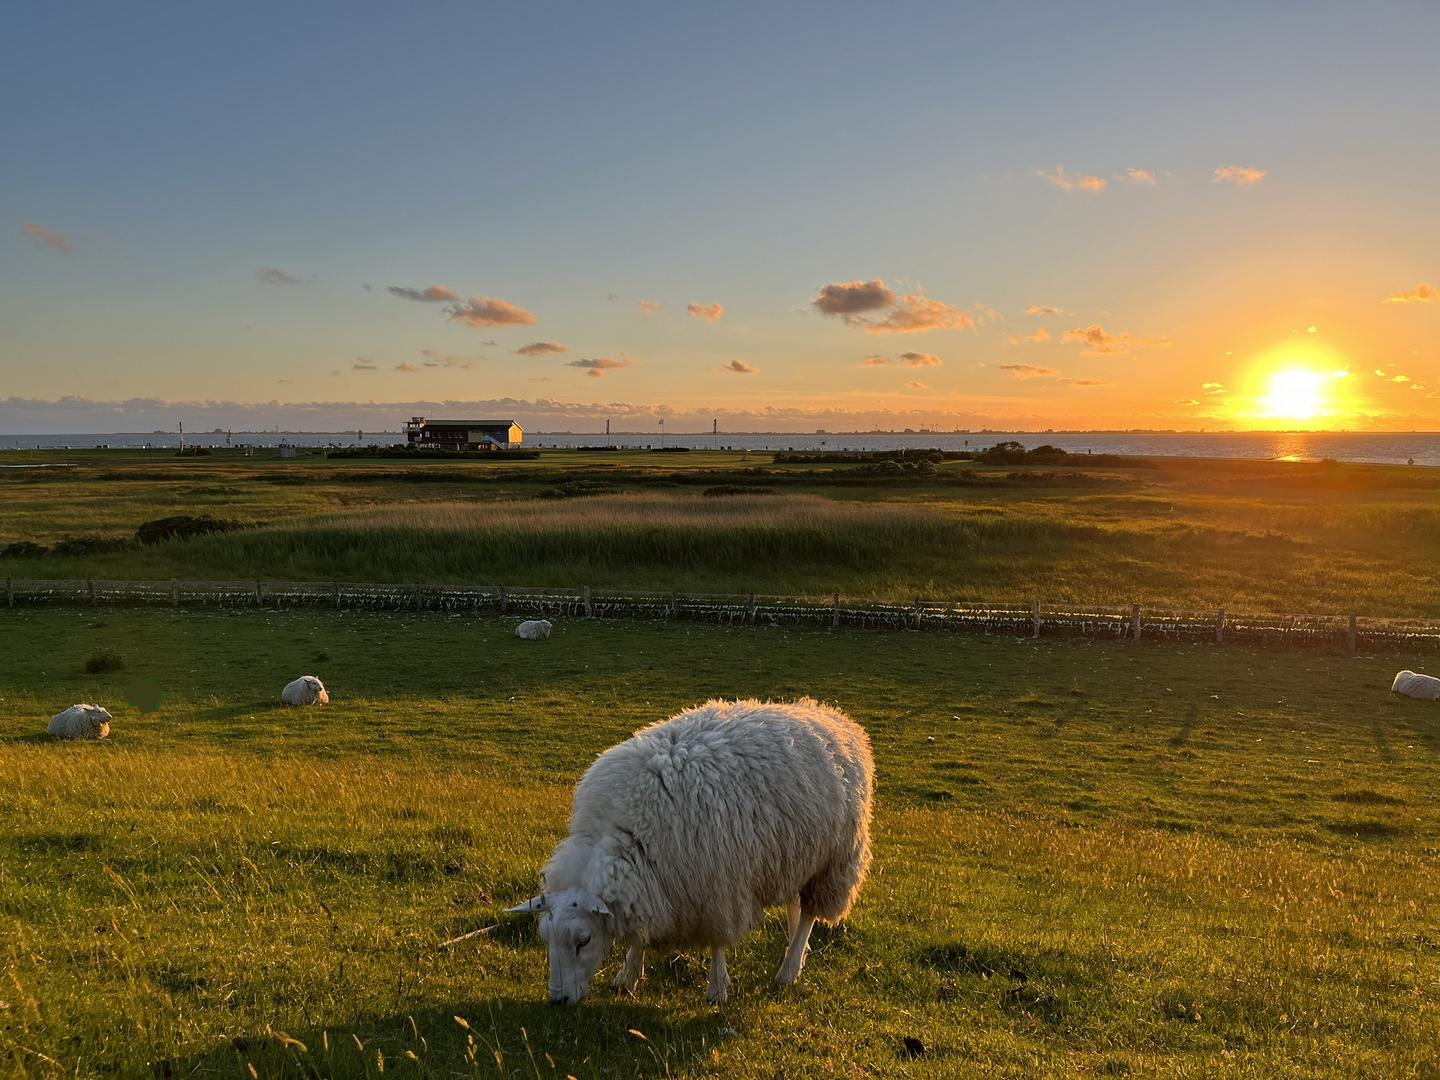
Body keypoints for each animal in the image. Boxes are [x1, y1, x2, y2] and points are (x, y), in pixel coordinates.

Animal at [509, 696, 875, 1013]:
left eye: (583, 941)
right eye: (544, 938)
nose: (558, 1000)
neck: (625, 833)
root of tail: (830, 714)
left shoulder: (717, 885)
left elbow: (717, 940)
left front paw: (717, 988)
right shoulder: (656, 882)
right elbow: (638, 933)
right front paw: (628, 975)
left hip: (833, 861)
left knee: (811, 913)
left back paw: (790, 967)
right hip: (796, 853)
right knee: (795, 907)